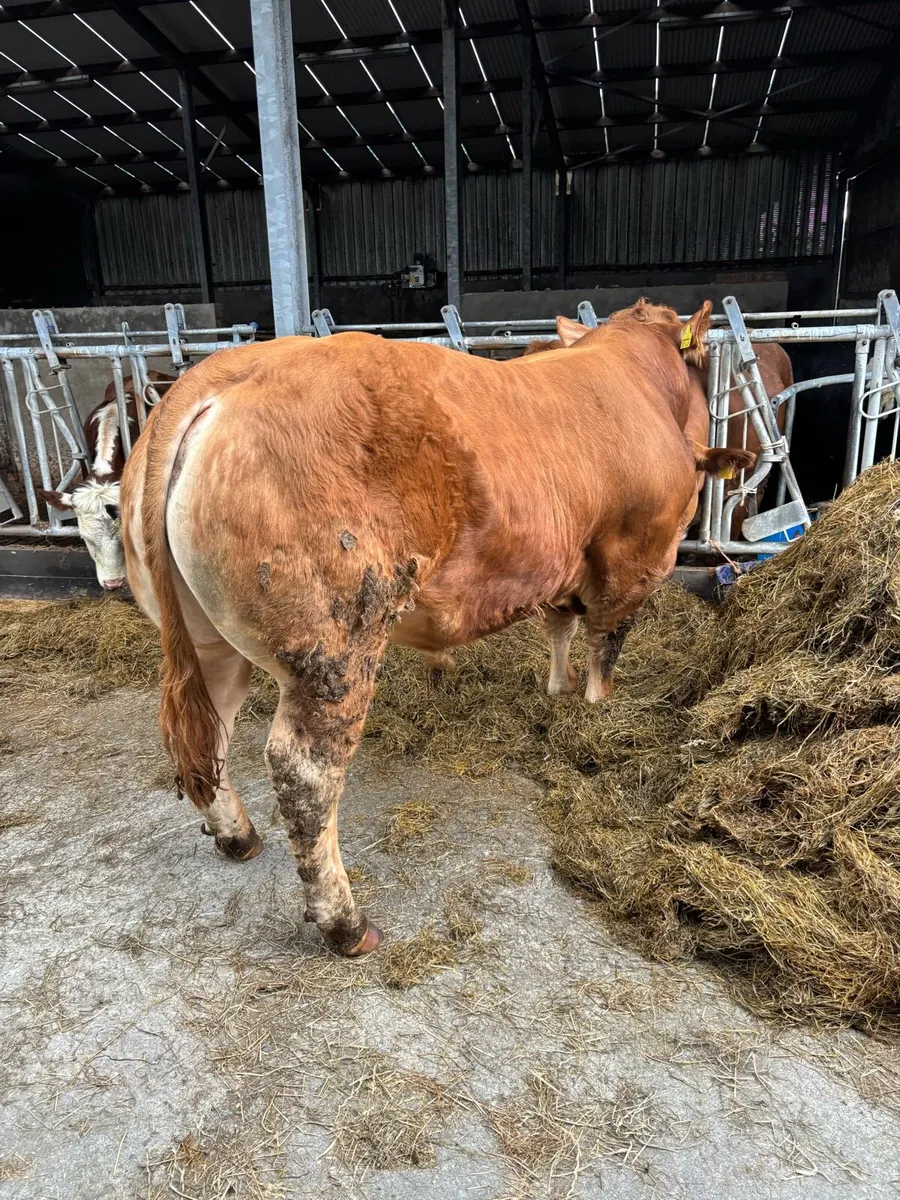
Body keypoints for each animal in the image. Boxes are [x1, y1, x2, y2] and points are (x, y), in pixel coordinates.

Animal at [120, 301, 754, 956]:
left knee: (209, 735)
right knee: (305, 770)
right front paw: (597, 712)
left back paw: (237, 837)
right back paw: (348, 925)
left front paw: (557, 693)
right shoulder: (633, 560)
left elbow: (560, 629)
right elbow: (606, 646)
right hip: (334, 648)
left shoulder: (559, 564)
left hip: (209, 643)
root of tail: (216, 377)